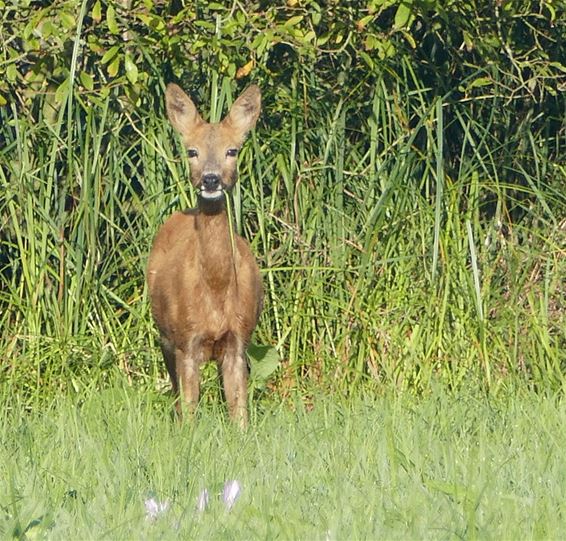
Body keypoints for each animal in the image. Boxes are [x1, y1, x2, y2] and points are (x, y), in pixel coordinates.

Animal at [145, 81, 262, 426]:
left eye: (232, 150)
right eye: (191, 151)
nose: (211, 179)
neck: (215, 291)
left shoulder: (239, 339)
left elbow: (239, 412)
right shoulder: (186, 340)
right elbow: (189, 409)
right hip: (165, 334)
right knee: (175, 395)